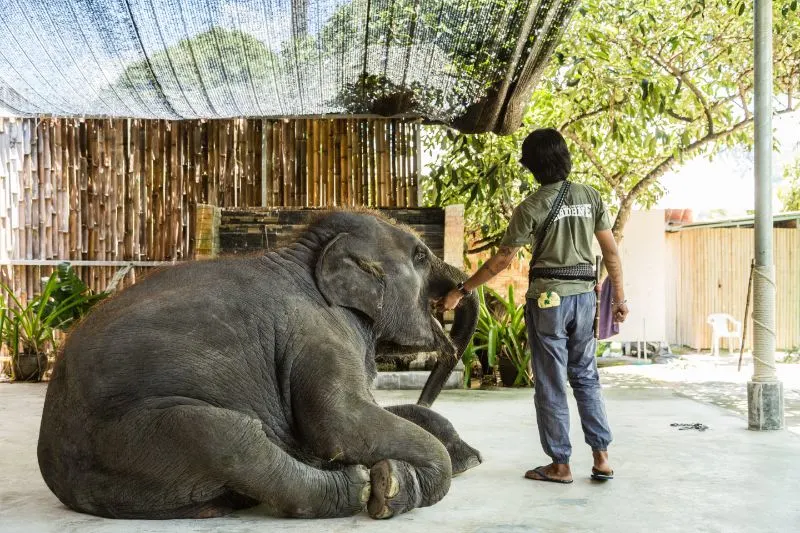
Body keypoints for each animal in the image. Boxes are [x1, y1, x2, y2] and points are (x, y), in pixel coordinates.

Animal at [39, 209, 482, 520]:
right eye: (421, 256)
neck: (307, 253)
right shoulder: (316, 334)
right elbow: (341, 424)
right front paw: (390, 484)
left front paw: (468, 458)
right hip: (131, 434)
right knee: (231, 439)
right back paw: (355, 485)